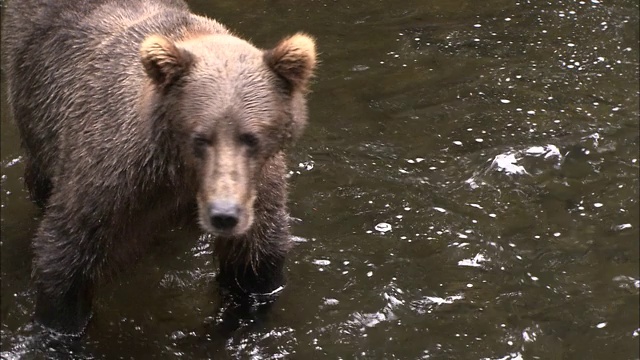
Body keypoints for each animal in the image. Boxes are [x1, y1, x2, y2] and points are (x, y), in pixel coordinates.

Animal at [1, 0, 316, 334]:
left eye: (251, 137)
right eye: (200, 137)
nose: (224, 214)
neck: (178, 175)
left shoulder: (259, 190)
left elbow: (255, 263)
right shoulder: (109, 179)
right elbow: (65, 259)